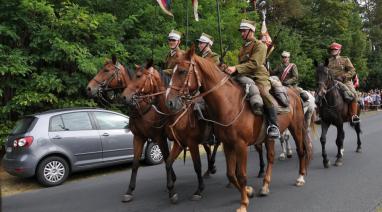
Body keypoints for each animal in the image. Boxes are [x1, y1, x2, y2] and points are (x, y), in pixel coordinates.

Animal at [121, 60, 219, 202]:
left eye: (138, 76)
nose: (124, 97)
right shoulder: (175, 142)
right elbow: (164, 162)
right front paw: (171, 190)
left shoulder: (188, 142)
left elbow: (196, 165)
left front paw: (198, 190)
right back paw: (210, 169)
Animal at [166, 46, 310, 212]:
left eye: (182, 71)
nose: (169, 102)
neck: (229, 103)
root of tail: (294, 92)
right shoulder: (228, 145)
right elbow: (231, 174)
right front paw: (248, 191)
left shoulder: (240, 145)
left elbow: (241, 174)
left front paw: (243, 204)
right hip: (269, 137)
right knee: (271, 157)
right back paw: (265, 186)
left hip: (296, 128)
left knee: (301, 150)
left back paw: (300, 178)